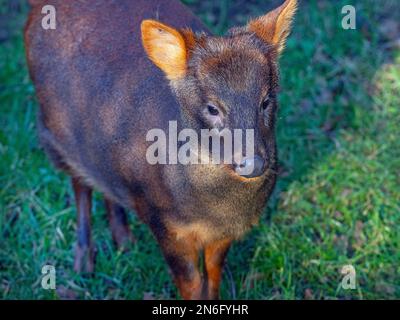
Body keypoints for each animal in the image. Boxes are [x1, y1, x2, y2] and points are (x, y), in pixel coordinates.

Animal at [23, 0, 296, 300]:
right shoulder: (164, 223)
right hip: (54, 131)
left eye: (266, 100)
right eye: (212, 108)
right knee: (79, 182)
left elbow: (213, 277)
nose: (253, 163)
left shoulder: (226, 232)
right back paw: (84, 260)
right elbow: (191, 283)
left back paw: (124, 240)